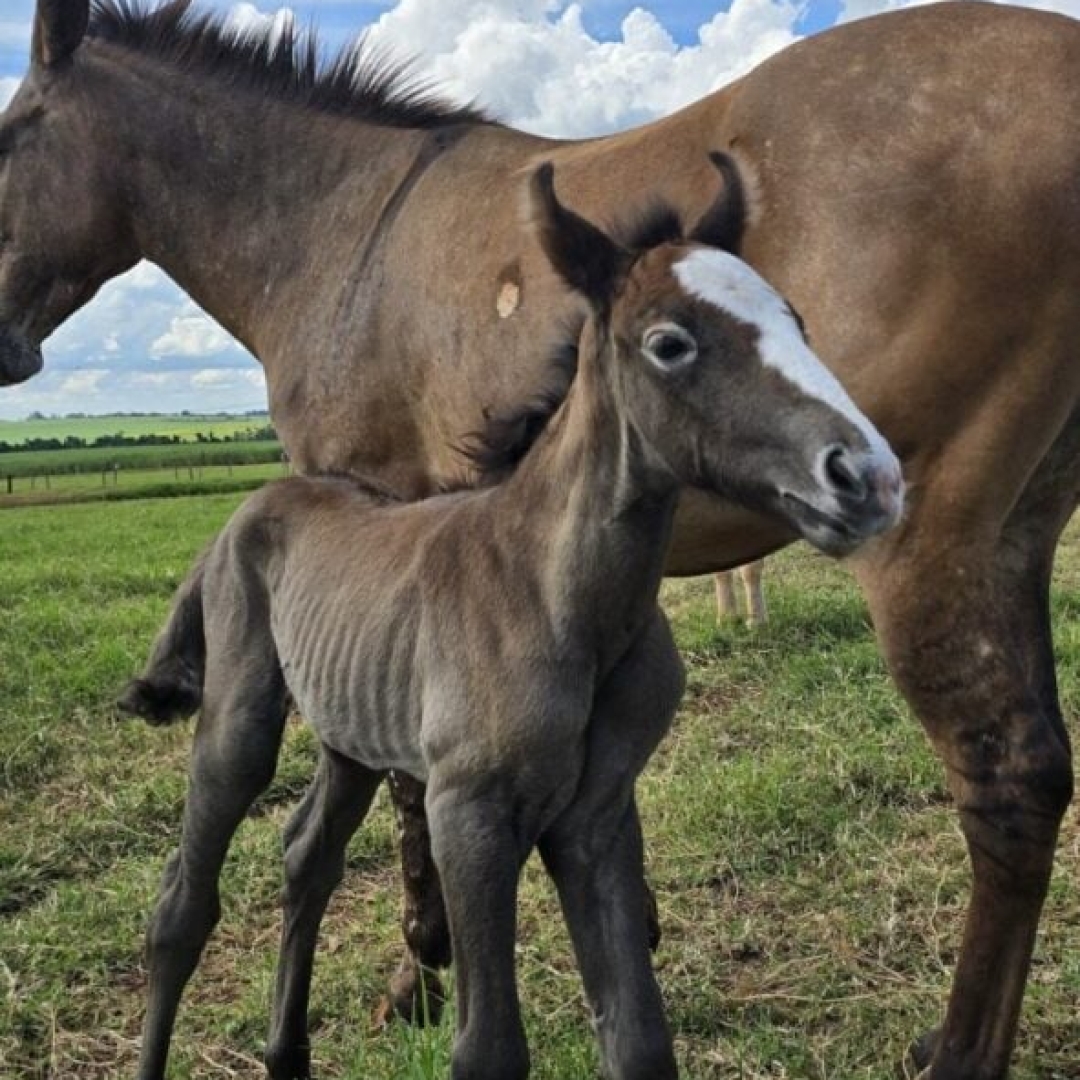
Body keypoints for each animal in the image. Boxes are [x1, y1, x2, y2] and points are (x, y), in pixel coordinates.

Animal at [120, 162, 902, 1080]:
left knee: (306, 855)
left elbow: (638, 1036)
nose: (869, 477)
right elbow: (488, 1048)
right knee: (182, 902)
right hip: (240, 720)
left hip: (351, 734)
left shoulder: (597, 818)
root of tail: (243, 514)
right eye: (671, 343)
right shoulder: (471, 817)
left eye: (797, 322)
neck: (560, 600)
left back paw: (287, 1055)